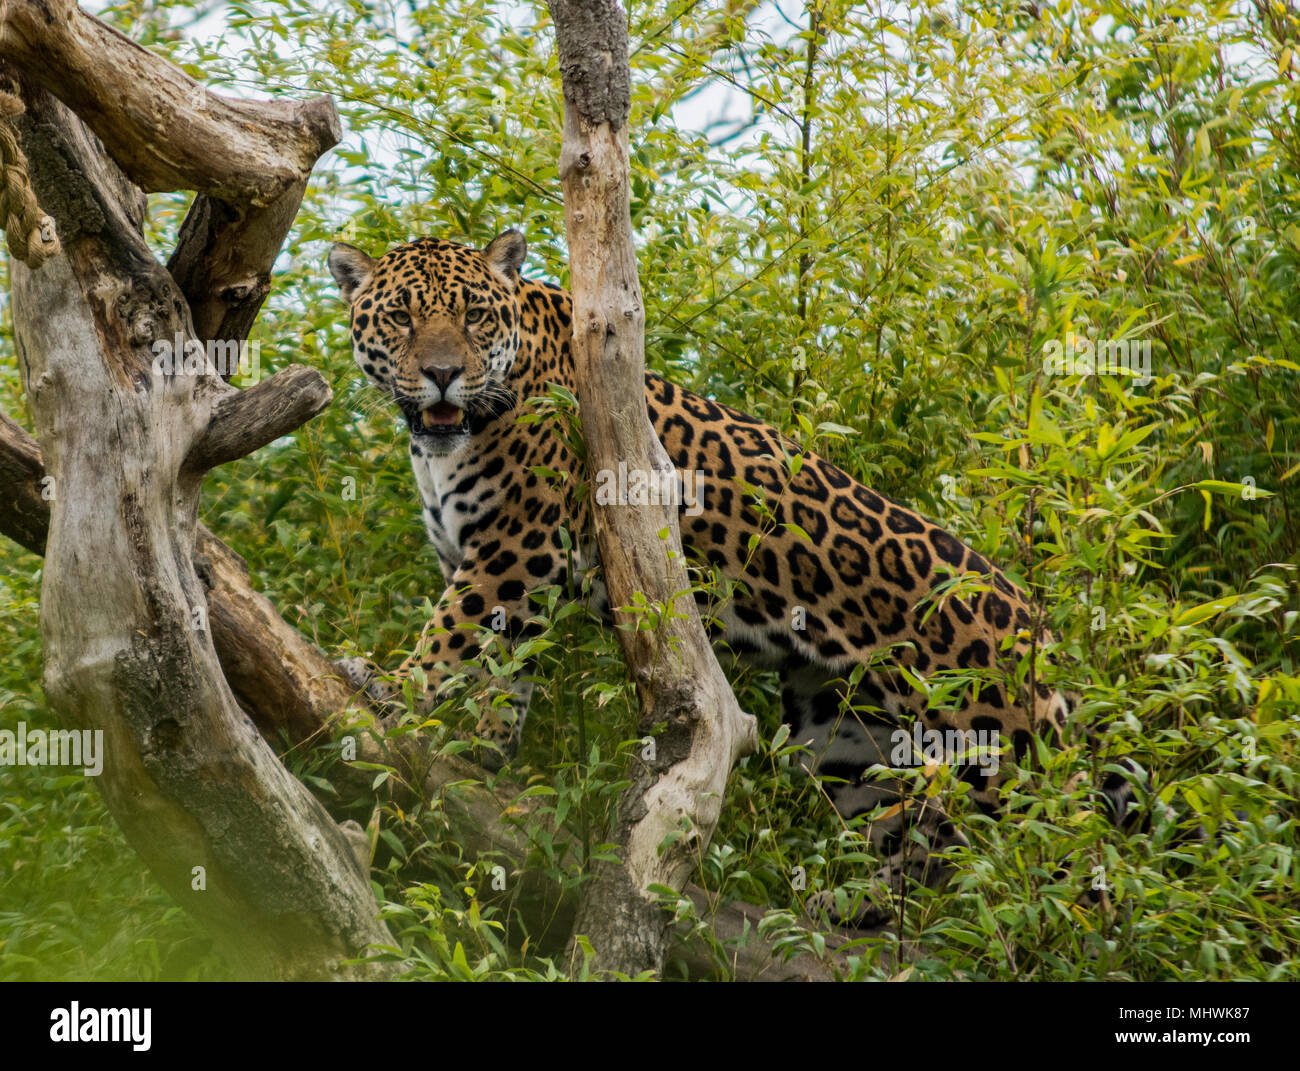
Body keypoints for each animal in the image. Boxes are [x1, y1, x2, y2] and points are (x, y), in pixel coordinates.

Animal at [326, 228, 1131, 928]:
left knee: (1067, 858)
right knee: (916, 831)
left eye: (474, 315)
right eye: (401, 317)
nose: (442, 375)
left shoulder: (516, 547)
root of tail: (1037, 626)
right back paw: (858, 905)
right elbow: (502, 669)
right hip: (845, 733)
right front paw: (482, 749)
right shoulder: (489, 560)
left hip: (995, 751)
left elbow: (450, 634)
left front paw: (387, 686)